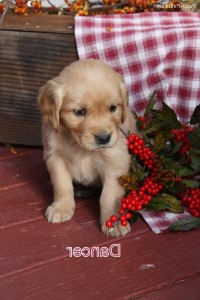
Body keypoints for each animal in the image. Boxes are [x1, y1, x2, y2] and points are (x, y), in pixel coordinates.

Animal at [37, 59, 138, 237]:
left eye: (113, 108)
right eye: (79, 112)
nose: (104, 138)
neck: (79, 145)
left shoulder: (116, 161)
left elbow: (109, 195)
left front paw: (114, 221)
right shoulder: (55, 157)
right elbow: (61, 184)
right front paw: (61, 207)